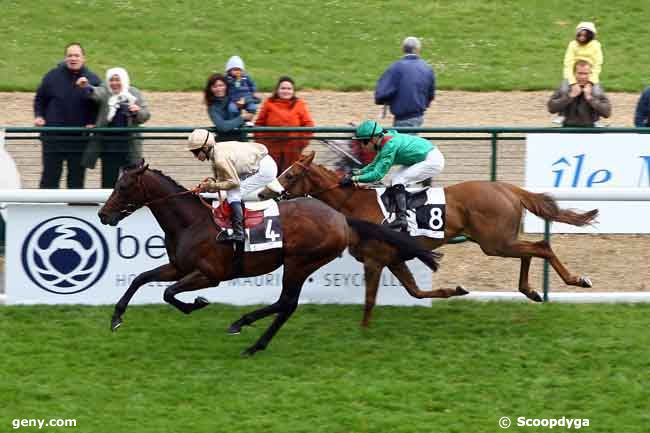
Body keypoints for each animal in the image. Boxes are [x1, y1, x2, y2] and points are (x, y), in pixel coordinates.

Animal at [97, 161, 440, 354]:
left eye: (124, 186)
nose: (102, 215)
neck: (191, 222)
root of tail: (341, 218)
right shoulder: (179, 266)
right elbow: (142, 279)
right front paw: (116, 317)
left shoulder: (209, 274)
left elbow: (169, 293)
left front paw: (197, 304)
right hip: (299, 264)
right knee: (286, 305)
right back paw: (254, 340)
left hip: (299, 262)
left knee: (286, 303)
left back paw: (244, 329)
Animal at [256, 152, 596, 324]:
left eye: (289, 175)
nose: (263, 192)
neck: (356, 206)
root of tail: (507, 188)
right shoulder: (393, 259)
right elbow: (416, 292)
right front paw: (455, 290)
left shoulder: (375, 260)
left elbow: (370, 300)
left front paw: (363, 333)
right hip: (500, 241)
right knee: (530, 250)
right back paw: (531, 291)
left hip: (495, 242)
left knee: (542, 246)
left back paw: (577, 280)